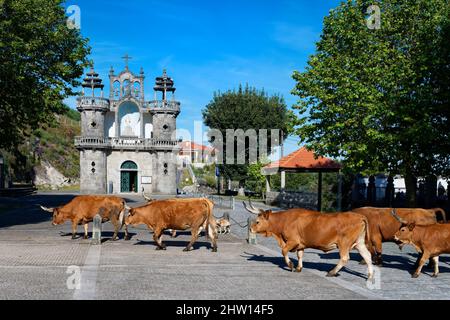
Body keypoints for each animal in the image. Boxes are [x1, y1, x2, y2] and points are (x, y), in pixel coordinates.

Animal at [244, 201, 374, 282]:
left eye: (257, 221)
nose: (250, 229)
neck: (284, 220)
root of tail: (359, 216)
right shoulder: (301, 244)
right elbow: (300, 255)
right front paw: (299, 268)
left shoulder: (292, 241)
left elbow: (284, 251)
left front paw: (290, 265)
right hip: (359, 243)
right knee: (367, 256)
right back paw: (370, 276)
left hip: (344, 243)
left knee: (344, 258)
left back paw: (332, 272)